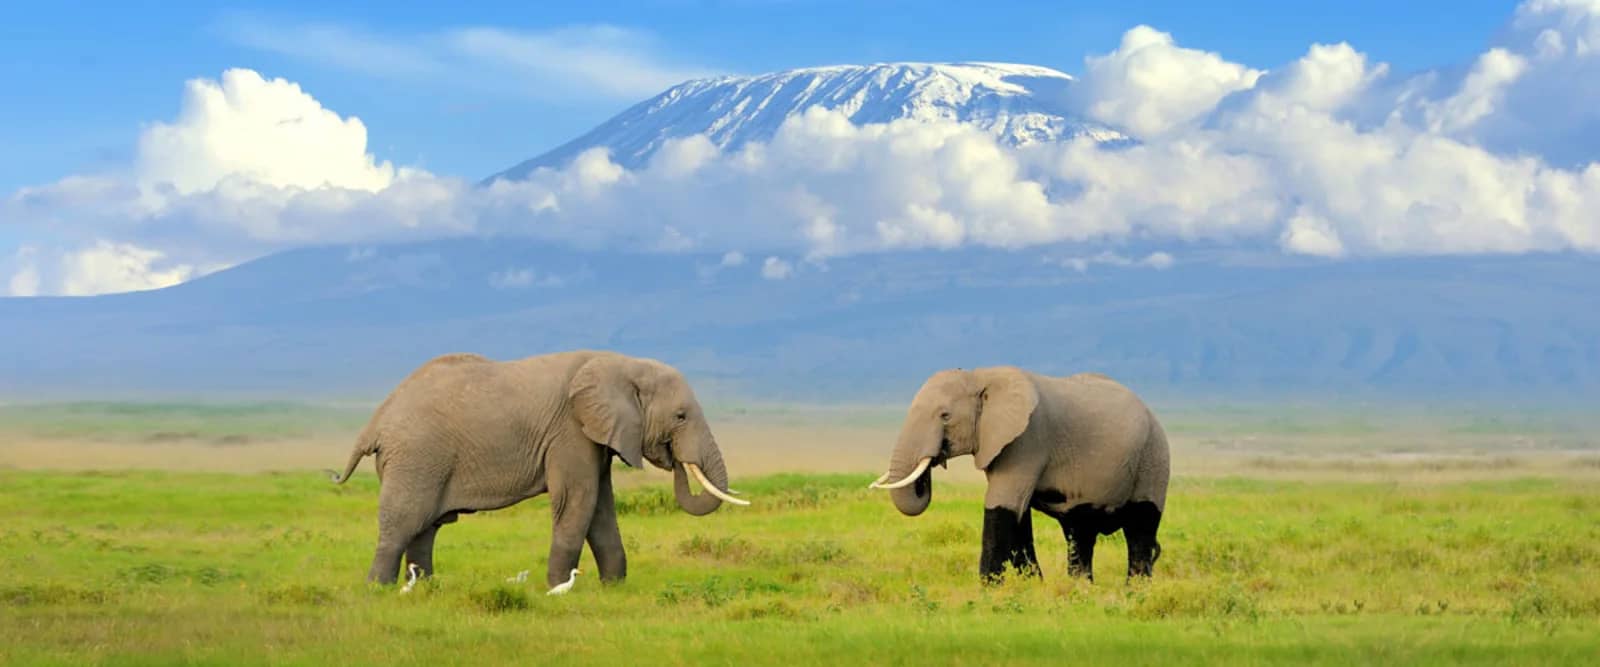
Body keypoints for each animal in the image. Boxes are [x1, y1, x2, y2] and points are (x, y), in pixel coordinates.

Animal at [325, 350, 748, 588]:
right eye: (680, 416)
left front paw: (614, 588)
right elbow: (578, 501)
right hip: (416, 457)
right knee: (404, 522)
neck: (623, 363)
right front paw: (559, 589)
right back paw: (378, 589)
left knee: (425, 528)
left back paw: (427, 587)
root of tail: (376, 420)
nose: (673, 457)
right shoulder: (570, 431)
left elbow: (600, 507)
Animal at [870, 367, 1169, 583]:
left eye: (945, 416)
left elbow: (1002, 506)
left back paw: (1135, 592)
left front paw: (989, 590)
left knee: (1140, 528)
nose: (934, 460)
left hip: (1153, 458)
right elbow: (1018, 517)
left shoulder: (1027, 440)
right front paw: (1033, 586)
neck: (981, 375)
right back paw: (1081, 589)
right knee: (1080, 533)